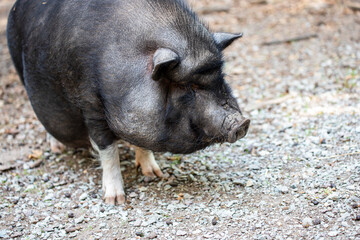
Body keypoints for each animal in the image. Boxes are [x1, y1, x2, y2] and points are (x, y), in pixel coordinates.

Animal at [7, 0, 250, 204]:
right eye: (187, 86)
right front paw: (115, 200)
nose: (242, 122)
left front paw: (155, 174)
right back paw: (57, 148)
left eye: (221, 77)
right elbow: (107, 149)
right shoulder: (90, 104)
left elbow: (141, 140)